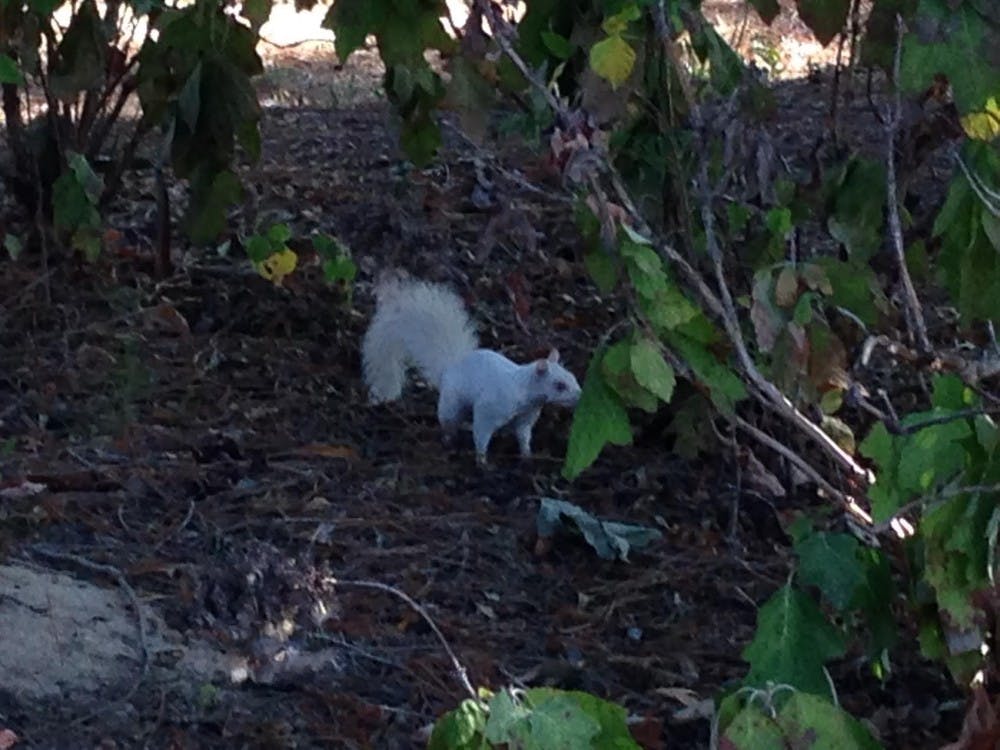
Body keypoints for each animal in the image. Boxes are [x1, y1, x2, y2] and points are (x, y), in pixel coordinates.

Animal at [361, 273, 582, 463]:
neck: (524, 391)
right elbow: (482, 433)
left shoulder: (525, 418)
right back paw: (449, 441)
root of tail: (450, 367)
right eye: (559, 385)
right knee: (449, 422)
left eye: (573, 377)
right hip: (451, 404)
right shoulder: (490, 409)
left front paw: (527, 455)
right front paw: (482, 460)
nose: (580, 396)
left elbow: (523, 435)